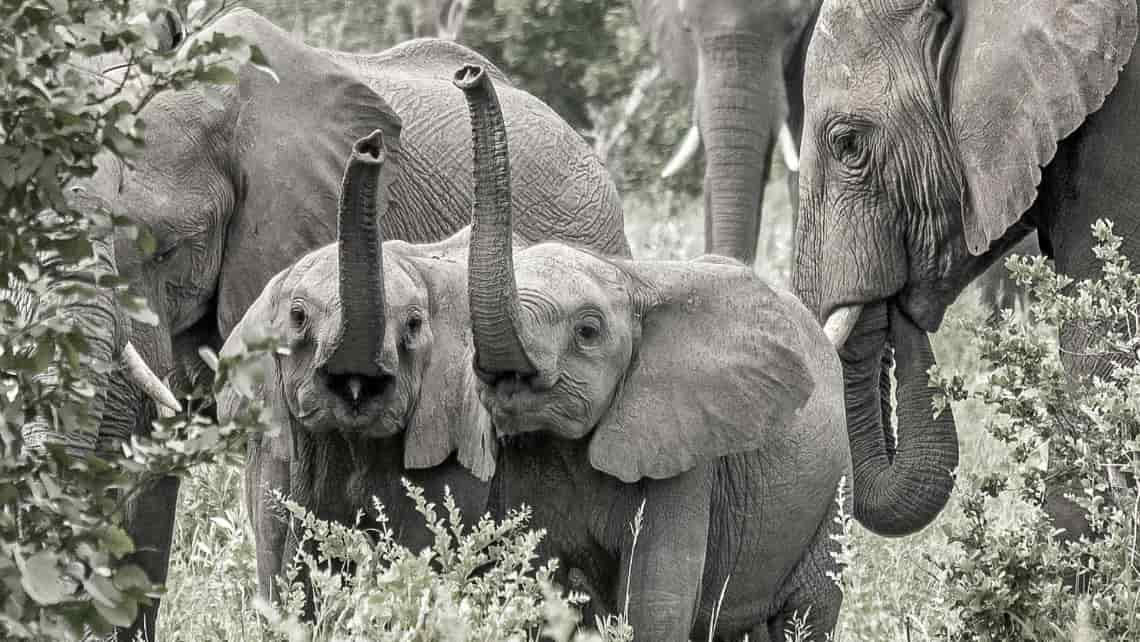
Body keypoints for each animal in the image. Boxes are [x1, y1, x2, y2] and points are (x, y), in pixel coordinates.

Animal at [453, 65, 857, 642]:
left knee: (810, 607)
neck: (629, 279)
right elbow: (532, 582)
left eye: (588, 331)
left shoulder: (686, 455)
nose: (469, 75)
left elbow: (655, 604)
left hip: (831, 494)